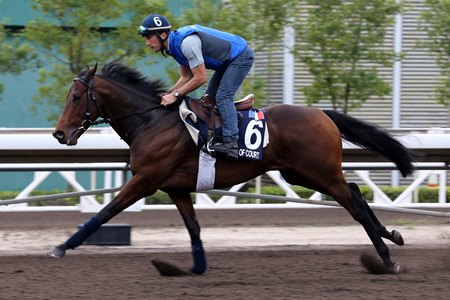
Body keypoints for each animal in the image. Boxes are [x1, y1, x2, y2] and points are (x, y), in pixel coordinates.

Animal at [49, 62, 414, 276]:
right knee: (355, 193)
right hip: (302, 173)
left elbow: (105, 213)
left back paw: (386, 260)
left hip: (319, 171)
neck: (151, 121)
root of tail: (322, 113)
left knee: (355, 204)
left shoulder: (146, 180)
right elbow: (193, 227)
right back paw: (392, 235)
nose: (59, 134)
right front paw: (192, 268)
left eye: (77, 96)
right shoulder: (175, 186)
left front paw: (61, 247)